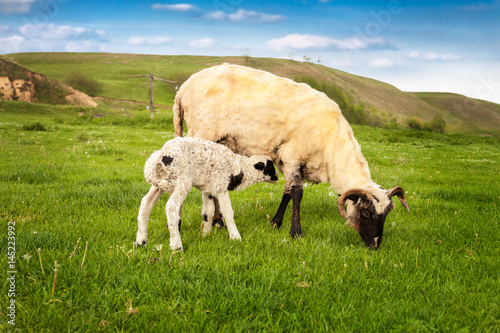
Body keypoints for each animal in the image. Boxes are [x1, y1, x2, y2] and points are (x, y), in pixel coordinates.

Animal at [135, 136, 280, 250]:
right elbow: (227, 212)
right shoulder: (221, 188)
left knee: (146, 203)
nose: (277, 176)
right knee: (171, 207)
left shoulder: (207, 190)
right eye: (271, 167)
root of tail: (162, 153)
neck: (238, 169)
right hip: (182, 181)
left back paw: (141, 242)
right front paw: (235, 237)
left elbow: (208, 212)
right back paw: (176, 246)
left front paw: (206, 234)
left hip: (161, 182)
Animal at [172, 63, 410, 248]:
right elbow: (297, 192)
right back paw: (182, 224)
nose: (375, 245)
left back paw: (218, 222)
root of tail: (184, 88)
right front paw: (296, 232)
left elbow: (287, 192)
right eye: (367, 213)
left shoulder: (291, 161)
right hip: (201, 134)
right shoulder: (293, 154)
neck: (332, 147)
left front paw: (275, 223)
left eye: (387, 214)